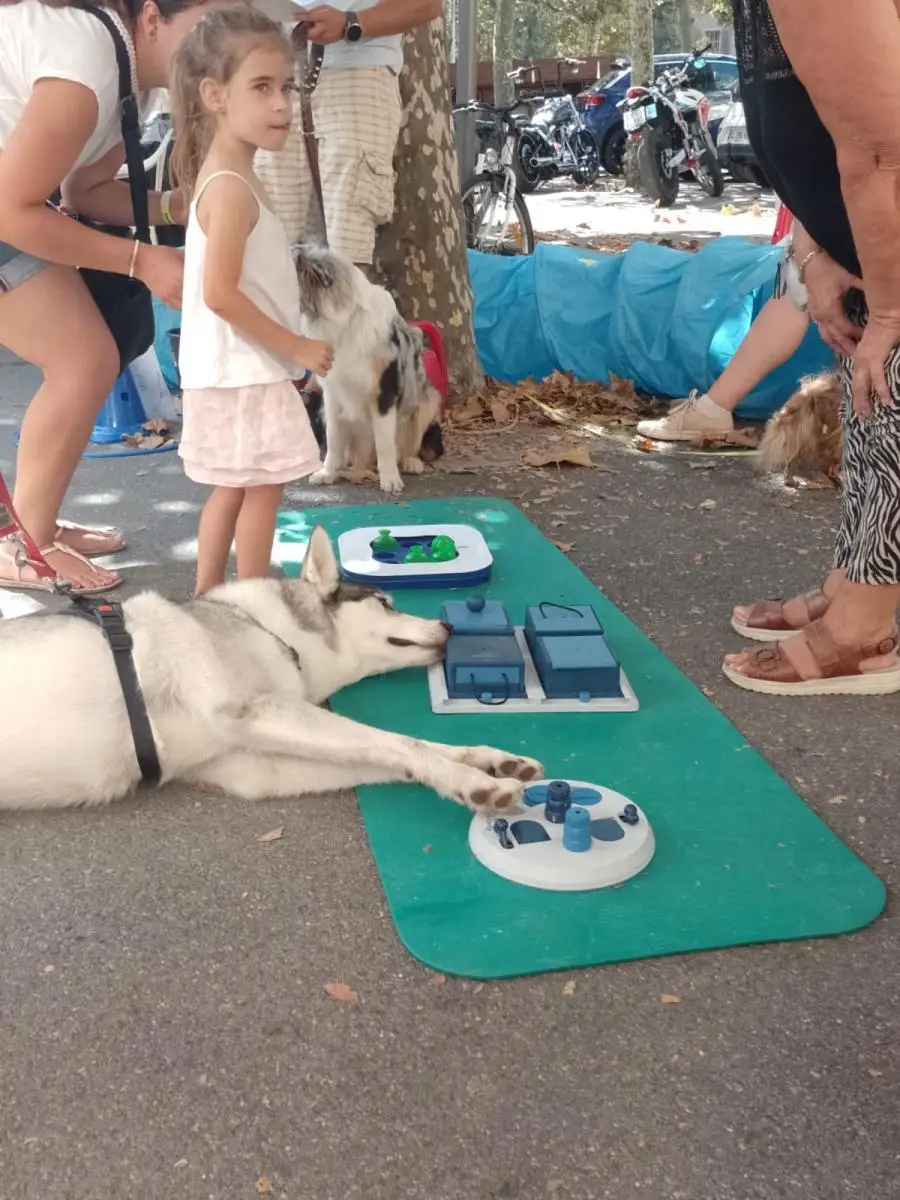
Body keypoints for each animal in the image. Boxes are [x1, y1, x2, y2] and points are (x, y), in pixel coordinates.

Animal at [0, 528, 543, 811]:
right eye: (387, 602)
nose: (447, 627)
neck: (268, 629)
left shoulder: (254, 766)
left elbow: (399, 753)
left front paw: (485, 762)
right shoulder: (258, 710)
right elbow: (399, 743)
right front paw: (480, 784)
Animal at [292, 243, 443, 494]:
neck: (345, 321)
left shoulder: (385, 393)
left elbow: (385, 443)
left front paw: (390, 479)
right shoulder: (332, 394)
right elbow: (333, 439)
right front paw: (327, 472)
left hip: (427, 400)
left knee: (410, 445)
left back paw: (411, 462)